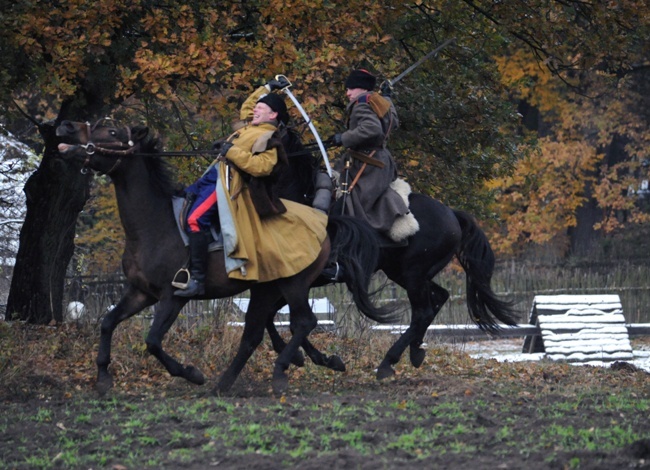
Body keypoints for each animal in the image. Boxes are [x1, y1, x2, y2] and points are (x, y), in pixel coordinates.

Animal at [55, 121, 398, 396]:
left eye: (112, 132)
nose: (66, 128)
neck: (155, 224)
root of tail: (322, 222)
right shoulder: (140, 293)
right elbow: (107, 322)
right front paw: (103, 378)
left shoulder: (172, 297)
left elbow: (152, 340)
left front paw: (191, 373)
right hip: (268, 289)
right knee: (257, 333)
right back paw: (229, 382)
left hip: (294, 285)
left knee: (303, 322)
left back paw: (279, 373)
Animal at [268, 130, 516, 380]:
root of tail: (453, 214)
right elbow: (275, 318)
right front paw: (308, 358)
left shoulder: (303, 281)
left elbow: (291, 321)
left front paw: (313, 359)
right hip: (404, 273)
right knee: (438, 298)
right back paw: (415, 351)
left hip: (413, 274)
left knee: (423, 312)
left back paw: (389, 361)